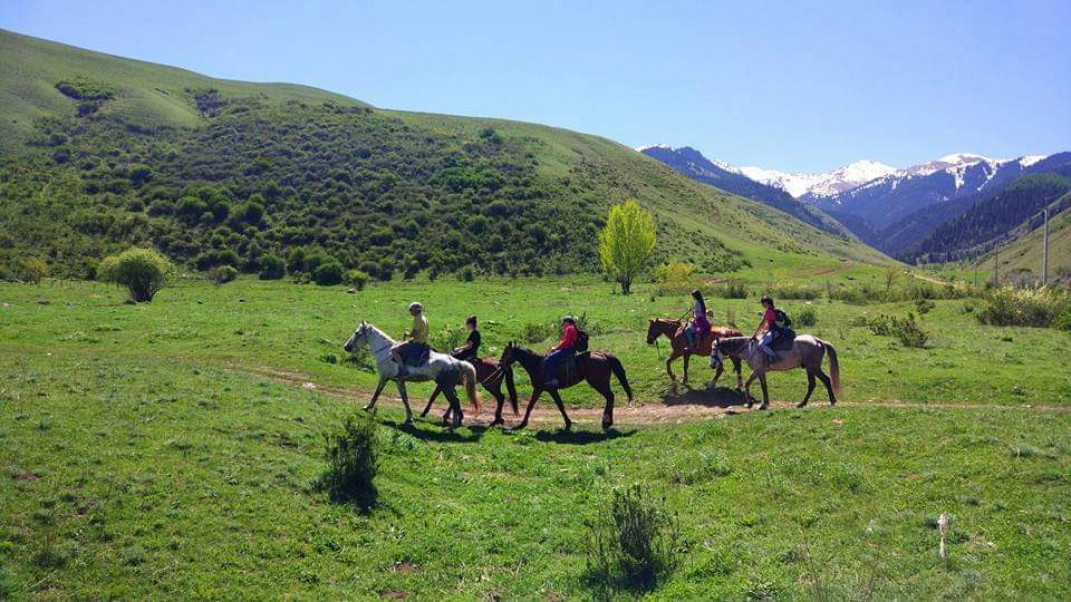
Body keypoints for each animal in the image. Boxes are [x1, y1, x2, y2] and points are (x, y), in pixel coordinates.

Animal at [344, 321, 479, 424]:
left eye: (357, 333)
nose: (346, 347)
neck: (386, 351)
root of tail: (458, 362)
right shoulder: (399, 381)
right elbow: (404, 398)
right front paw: (409, 417)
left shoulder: (385, 377)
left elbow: (378, 393)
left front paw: (367, 407)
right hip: (447, 386)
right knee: (454, 402)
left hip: (446, 387)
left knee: (455, 402)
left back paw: (454, 424)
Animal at [496, 340, 629, 428]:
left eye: (506, 352)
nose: (499, 364)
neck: (537, 364)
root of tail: (603, 355)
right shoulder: (539, 389)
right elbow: (531, 406)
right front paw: (523, 423)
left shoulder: (551, 389)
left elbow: (559, 406)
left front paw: (568, 423)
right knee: (610, 397)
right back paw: (608, 422)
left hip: (598, 383)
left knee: (610, 397)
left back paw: (606, 422)